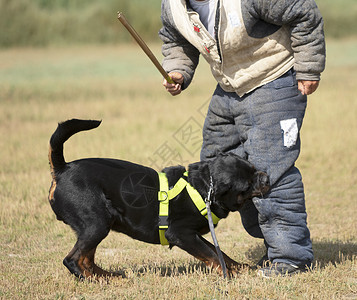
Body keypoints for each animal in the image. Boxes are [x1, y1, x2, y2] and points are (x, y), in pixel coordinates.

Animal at [48, 119, 268, 278]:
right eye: (247, 186)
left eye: (254, 168)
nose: (266, 177)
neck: (203, 188)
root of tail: (62, 169)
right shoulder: (180, 233)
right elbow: (212, 254)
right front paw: (227, 274)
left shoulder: (194, 234)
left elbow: (218, 251)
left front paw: (237, 267)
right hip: (96, 224)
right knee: (73, 259)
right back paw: (96, 279)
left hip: (97, 226)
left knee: (87, 258)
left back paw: (108, 276)